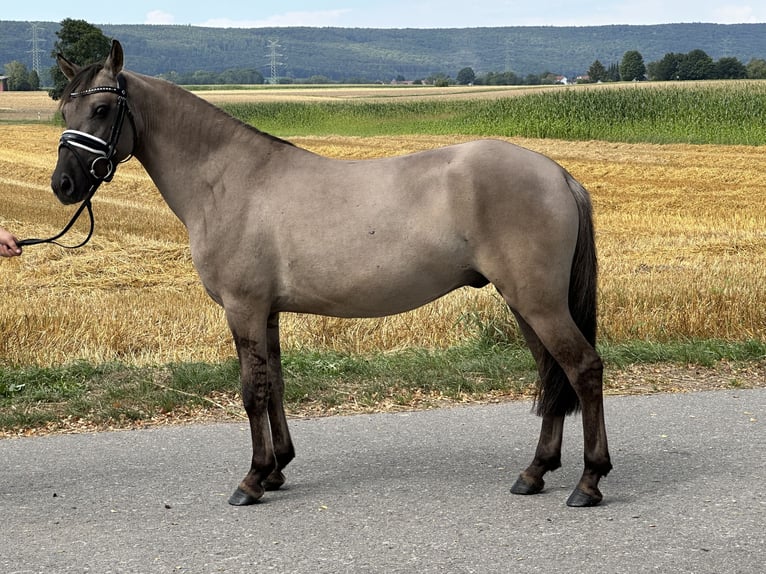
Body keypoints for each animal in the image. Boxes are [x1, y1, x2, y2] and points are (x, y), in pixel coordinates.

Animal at [51, 40, 616, 508]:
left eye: (102, 109)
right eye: (64, 108)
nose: (63, 184)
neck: (231, 181)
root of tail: (557, 174)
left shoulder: (243, 308)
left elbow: (251, 391)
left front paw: (253, 480)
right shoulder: (266, 313)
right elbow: (275, 384)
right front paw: (277, 468)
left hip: (538, 301)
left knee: (582, 369)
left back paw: (589, 481)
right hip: (525, 302)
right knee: (552, 373)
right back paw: (535, 472)